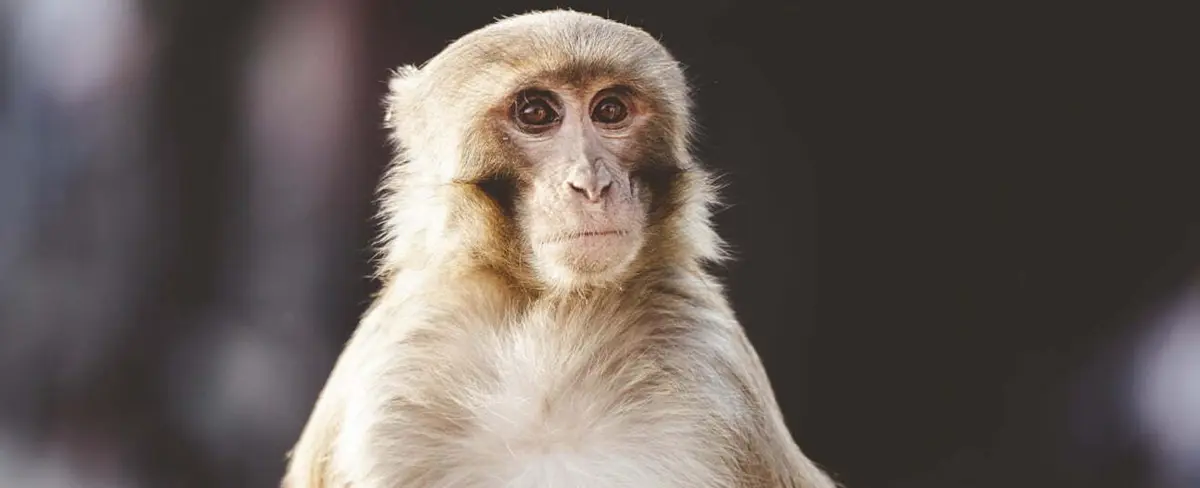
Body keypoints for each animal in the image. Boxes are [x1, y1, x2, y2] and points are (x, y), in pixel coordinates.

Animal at [282, 9, 837, 488]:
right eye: (536, 112)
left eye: (609, 110)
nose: (592, 183)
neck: (554, 309)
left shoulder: (712, 362)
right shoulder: (395, 371)